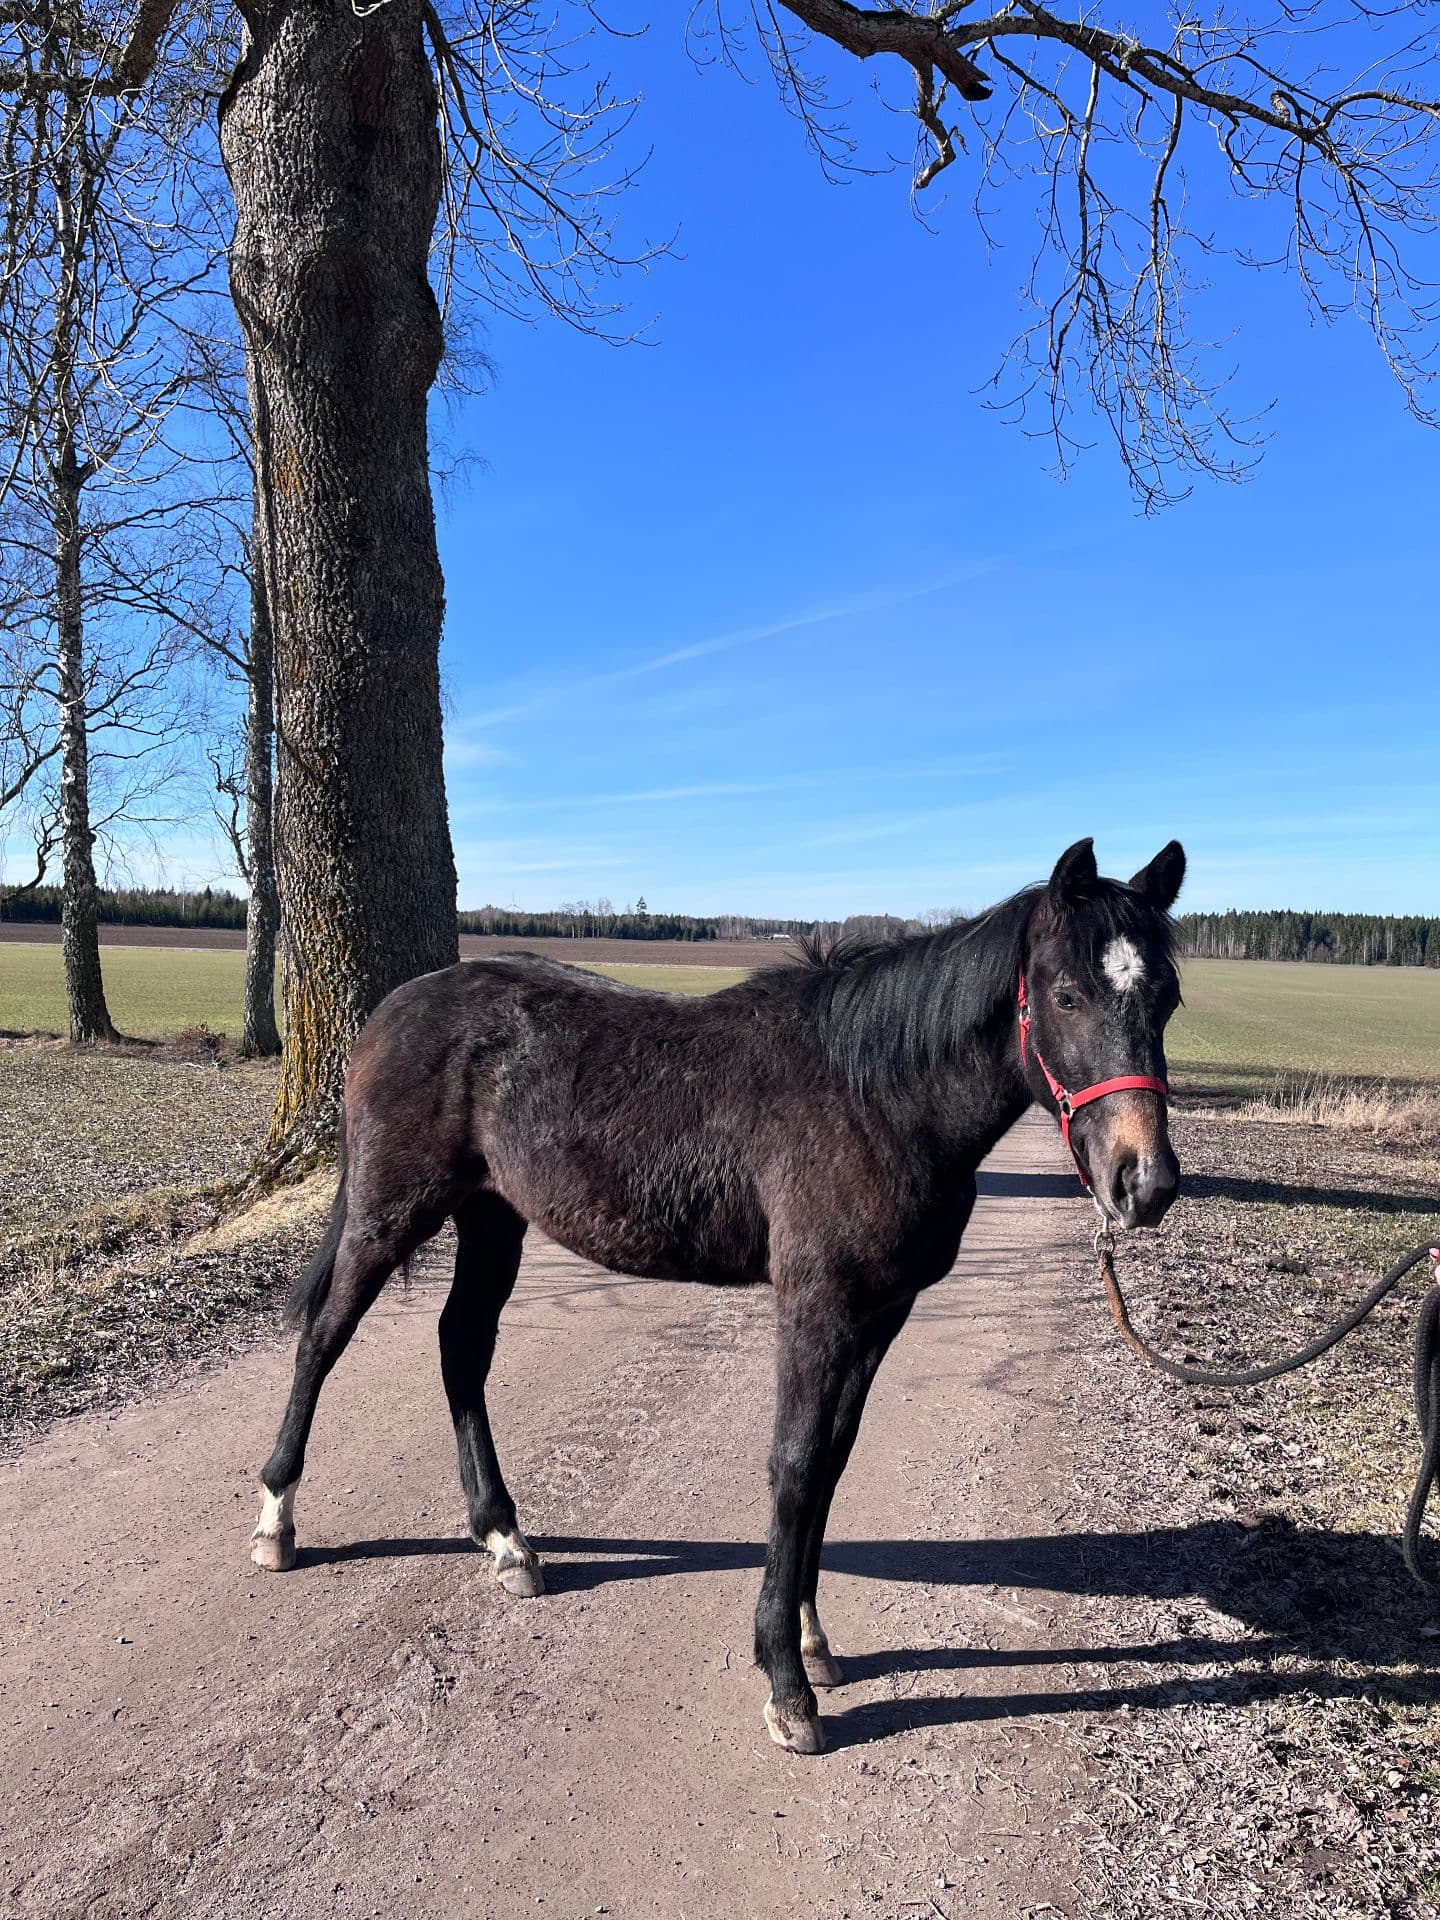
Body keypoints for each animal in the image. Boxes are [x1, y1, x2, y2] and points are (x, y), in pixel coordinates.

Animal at [249, 836, 1186, 1755]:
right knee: (323, 1339)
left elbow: (831, 1464)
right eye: (1066, 995)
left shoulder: (880, 1314)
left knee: (461, 1347)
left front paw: (812, 1639)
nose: (1144, 1184)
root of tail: (390, 1010)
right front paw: (786, 1683)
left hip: (492, 1217)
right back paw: (277, 1523)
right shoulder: (816, 1306)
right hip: (388, 1214)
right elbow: (795, 1467)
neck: (876, 1095)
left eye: (1168, 999)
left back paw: (505, 1539)